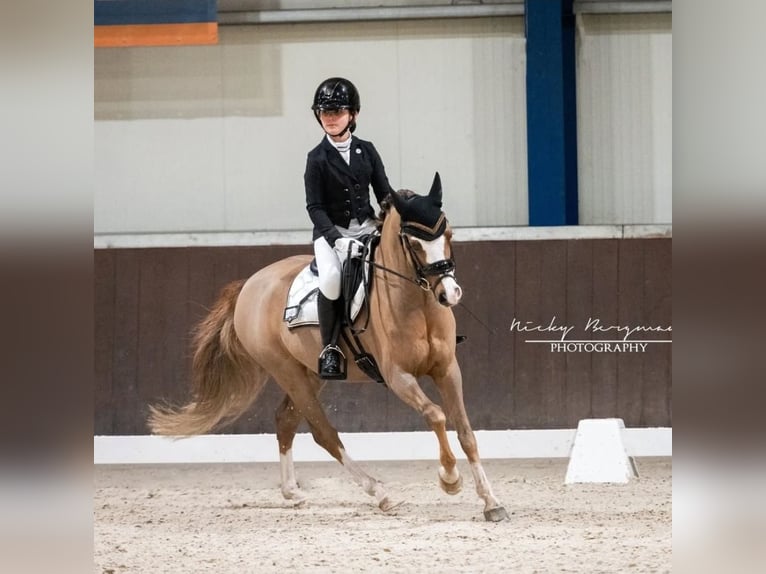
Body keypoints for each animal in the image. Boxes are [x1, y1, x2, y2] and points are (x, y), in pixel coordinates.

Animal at [149, 173, 508, 522]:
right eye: (415, 243)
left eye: (449, 233)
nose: (450, 294)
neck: (418, 305)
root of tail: (250, 284)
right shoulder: (398, 377)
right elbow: (435, 415)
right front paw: (450, 479)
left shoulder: (447, 369)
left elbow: (465, 431)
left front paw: (491, 502)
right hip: (287, 371)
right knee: (324, 433)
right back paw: (381, 493)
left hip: (310, 372)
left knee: (285, 421)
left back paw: (293, 493)